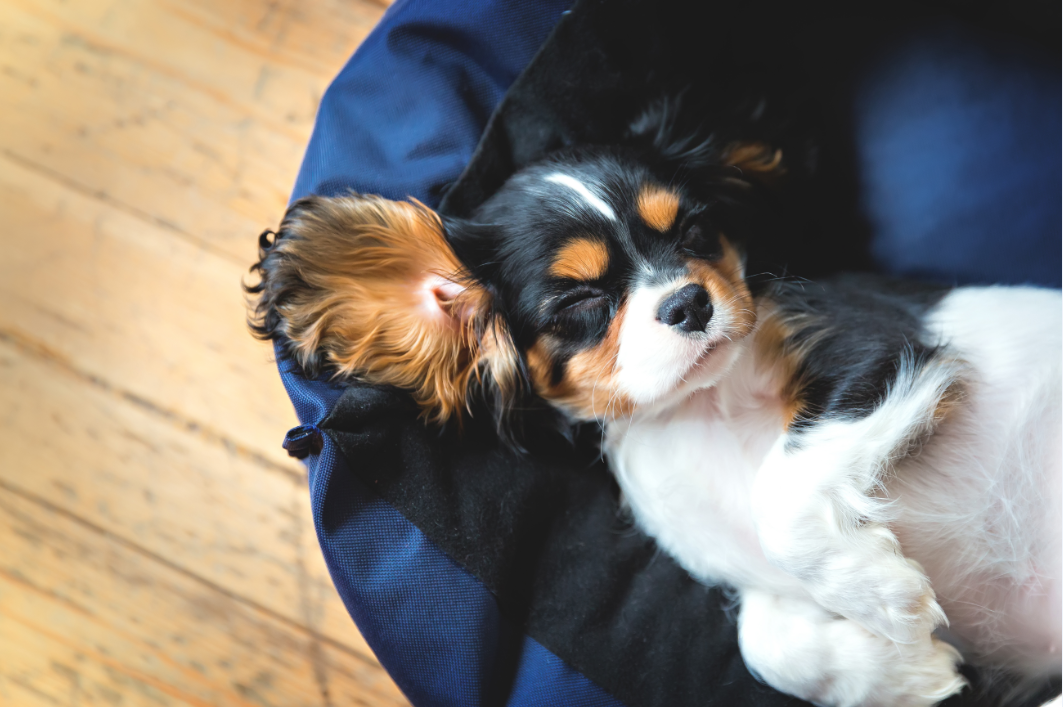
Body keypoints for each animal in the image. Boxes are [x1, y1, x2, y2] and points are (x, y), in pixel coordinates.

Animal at [250, 127, 1063, 701]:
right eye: (580, 300)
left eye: (695, 233)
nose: (688, 301)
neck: (697, 408)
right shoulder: (749, 581)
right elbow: (765, 644)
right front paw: (904, 669)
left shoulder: (876, 350)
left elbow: (780, 493)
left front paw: (882, 599)